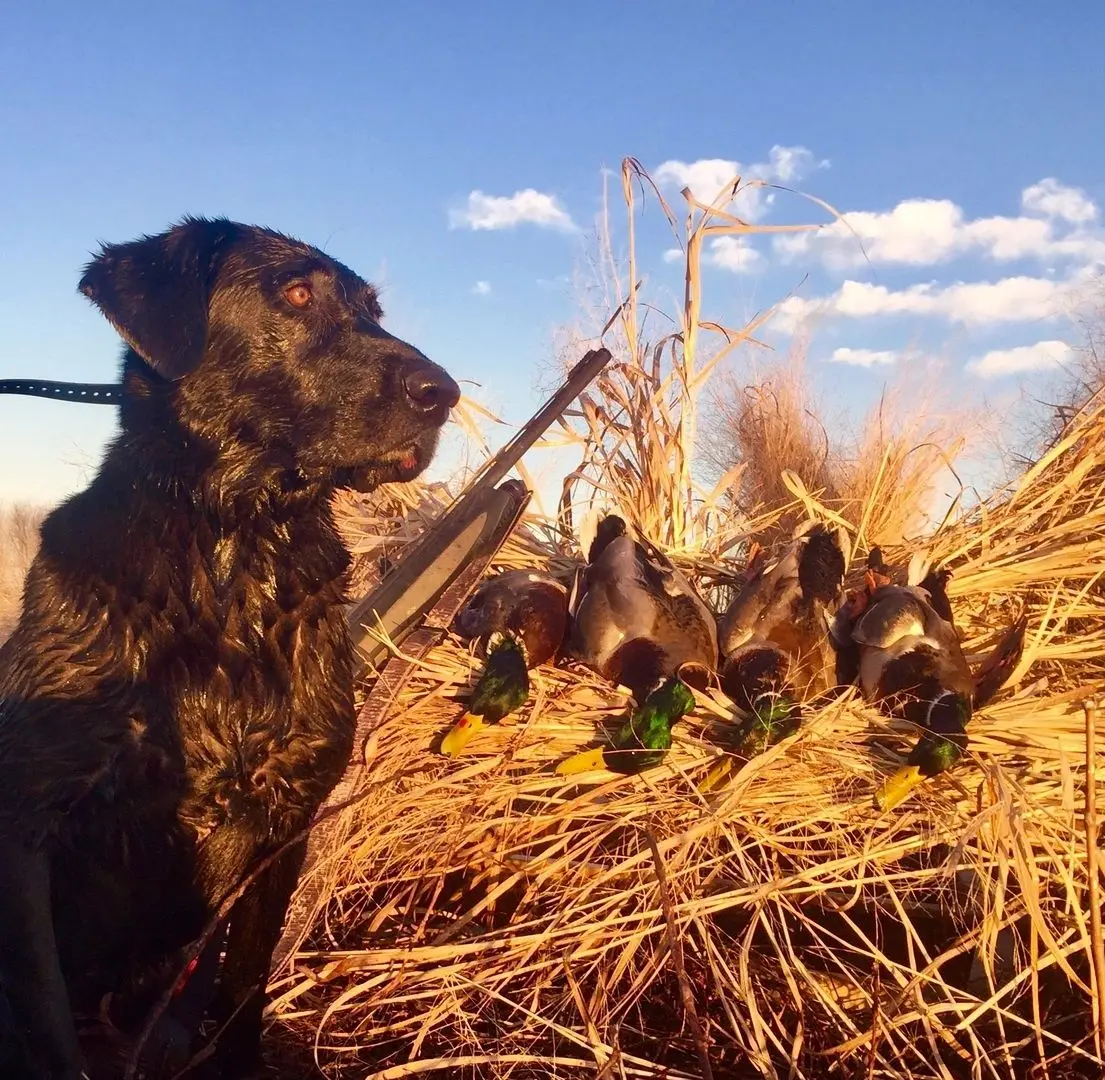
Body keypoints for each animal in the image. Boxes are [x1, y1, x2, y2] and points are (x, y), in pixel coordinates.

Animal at [0, 214, 459, 1074]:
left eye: (373, 310)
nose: (442, 393)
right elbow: (41, 1023)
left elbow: (241, 988)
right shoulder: (28, 811)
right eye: (298, 294)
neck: (232, 554)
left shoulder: (286, 818)